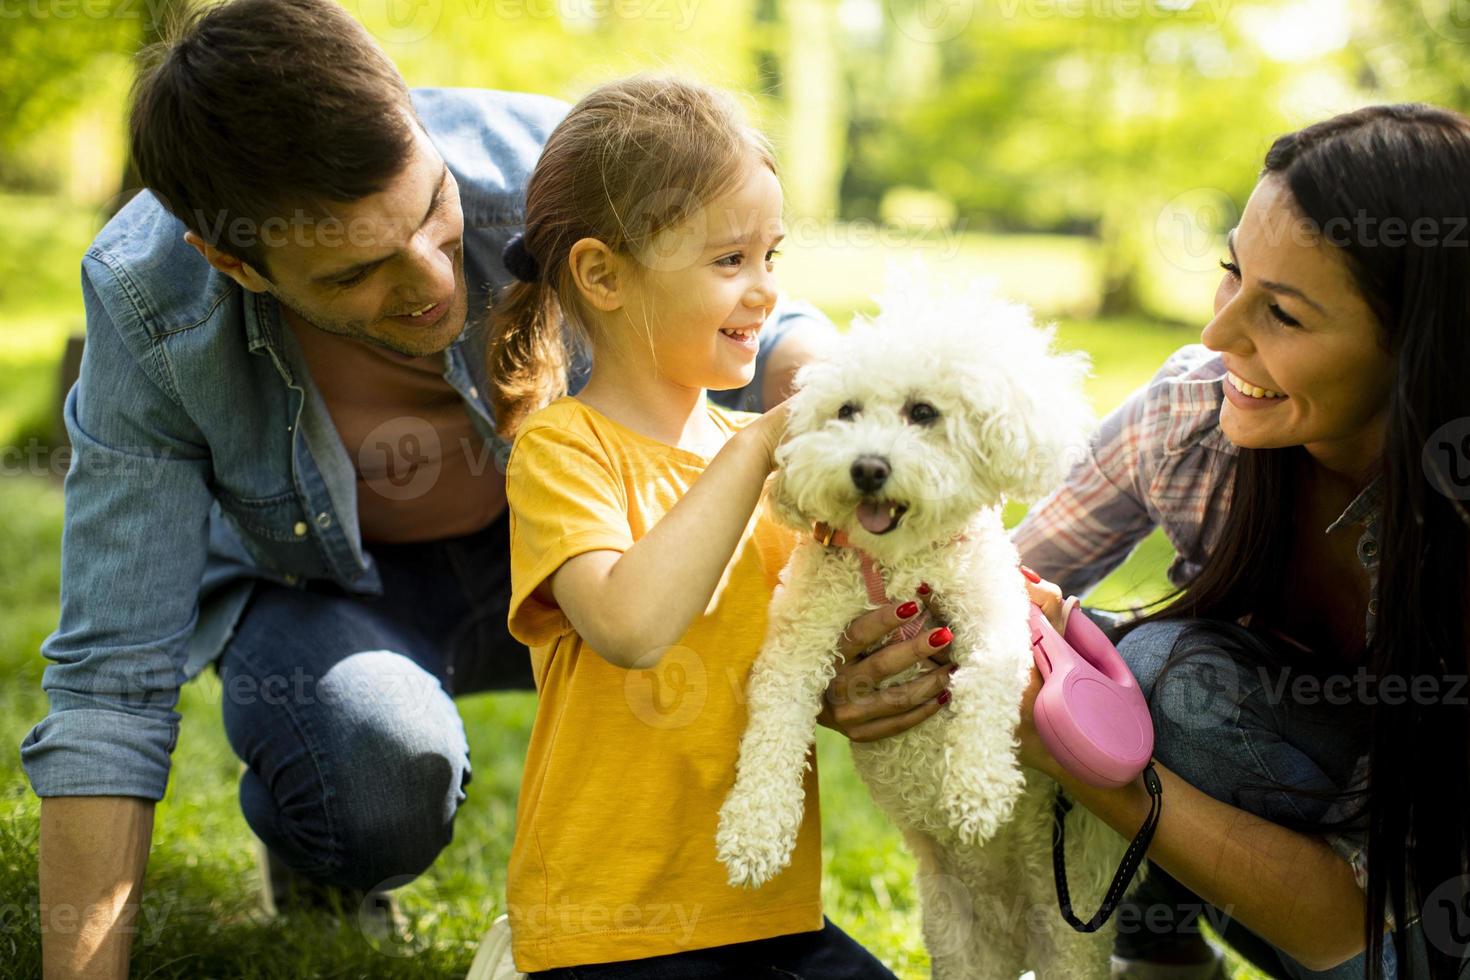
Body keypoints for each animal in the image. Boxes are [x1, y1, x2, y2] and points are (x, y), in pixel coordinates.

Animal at [717, 271, 1140, 975]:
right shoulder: (797, 643)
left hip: (1069, 927)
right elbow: (772, 728)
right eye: (846, 412)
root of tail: (1012, 932)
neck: (897, 564)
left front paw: (979, 790)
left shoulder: (995, 618)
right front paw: (755, 832)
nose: (868, 467)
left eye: (923, 414)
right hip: (956, 937)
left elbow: (986, 679)